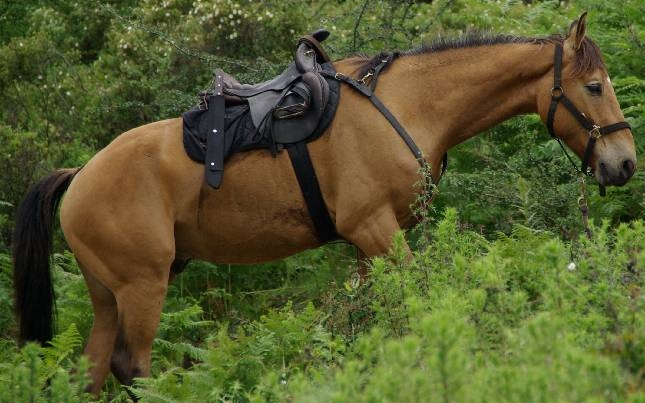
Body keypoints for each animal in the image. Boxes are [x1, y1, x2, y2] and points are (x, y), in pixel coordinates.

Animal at [12, 13, 636, 394]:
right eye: (595, 86)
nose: (625, 163)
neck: (408, 105)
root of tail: (80, 175)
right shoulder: (378, 233)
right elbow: (412, 309)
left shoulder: (368, 246)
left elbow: (361, 323)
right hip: (143, 287)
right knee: (131, 367)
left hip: (108, 295)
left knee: (91, 372)